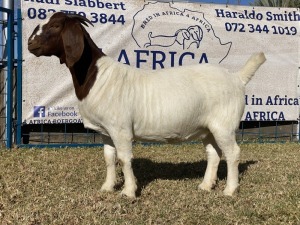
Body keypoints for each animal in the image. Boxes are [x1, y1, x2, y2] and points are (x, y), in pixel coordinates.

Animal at [28, 12, 266, 199]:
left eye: (55, 25)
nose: (30, 44)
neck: (96, 76)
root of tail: (237, 78)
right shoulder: (106, 132)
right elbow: (109, 159)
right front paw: (107, 187)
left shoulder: (121, 129)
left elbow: (124, 159)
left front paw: (128, 191)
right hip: (208, 128)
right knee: (214, 154)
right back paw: (206, 186)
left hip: (224, 124)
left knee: (233, 153)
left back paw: (230, 190)